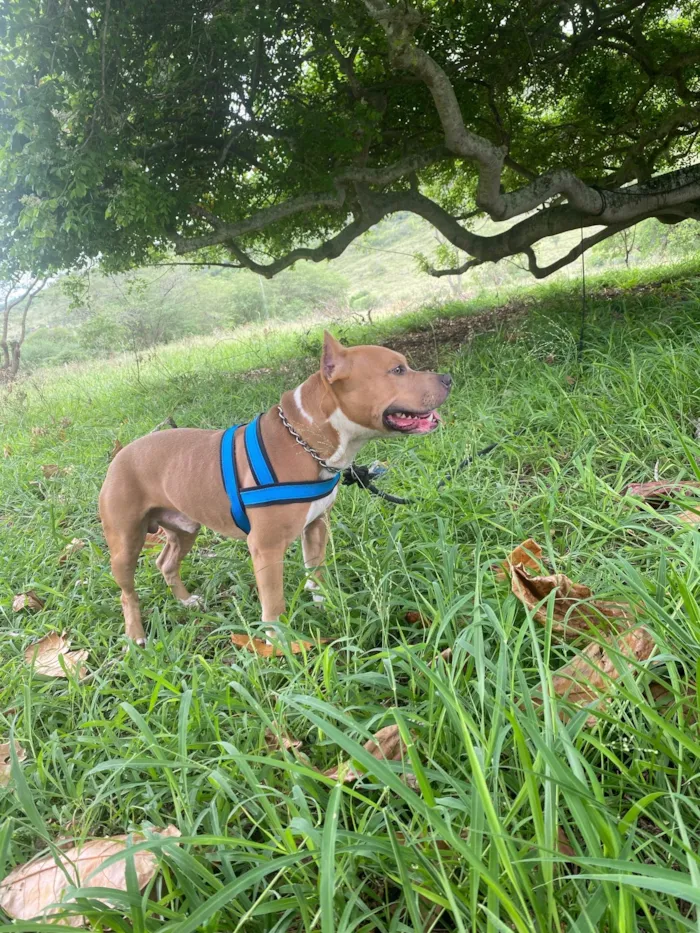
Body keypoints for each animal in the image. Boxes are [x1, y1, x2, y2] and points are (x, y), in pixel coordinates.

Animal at [100, 332, 454, 644]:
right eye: (398, 370)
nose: (448, 377)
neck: (306, 442)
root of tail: (121, 455)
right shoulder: (266, 547)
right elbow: (274, 601)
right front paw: (276, 641)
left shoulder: (316, 526)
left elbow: (316, 574)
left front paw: (326, 606)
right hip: (125, 544)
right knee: (127, 593)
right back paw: (136, 636)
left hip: (185, 528)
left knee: (167, 563)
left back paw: (186, 601)